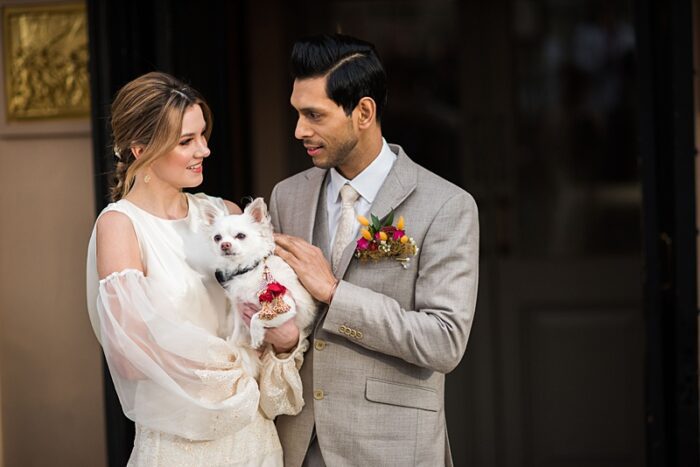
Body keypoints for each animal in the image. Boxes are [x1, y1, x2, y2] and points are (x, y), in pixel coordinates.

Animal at [205, 197, 318, 376]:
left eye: (241, 236)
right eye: (217, 238)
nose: (225, 245)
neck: (247, 270)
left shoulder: (287, 306)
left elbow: (256, 317)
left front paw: (256, 336)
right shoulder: (239, 311)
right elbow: (236, 333)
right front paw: (234, 346)